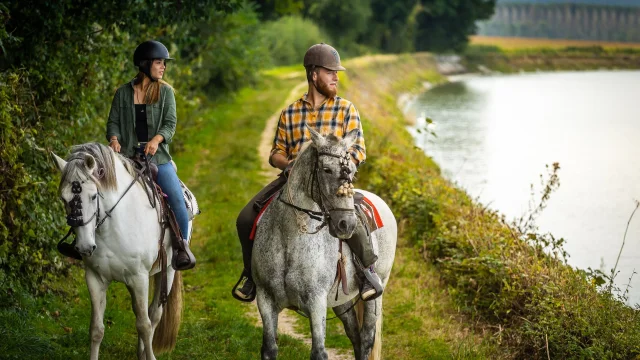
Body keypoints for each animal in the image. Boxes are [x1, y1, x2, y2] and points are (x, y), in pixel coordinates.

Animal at [52, 143, 184, 360]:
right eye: (64, 198)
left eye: (94, 195)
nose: (85, 247)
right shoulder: (95, 278)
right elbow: (96, 329)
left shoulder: (139, 278)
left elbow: (144, 325)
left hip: (169, 270)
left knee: (154, 315)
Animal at [252, 128, 398, 358]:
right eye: (327, 169)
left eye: (352, 172)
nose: (346, 224)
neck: (288, 240)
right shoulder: (264, 298)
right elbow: (269, 348)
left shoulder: (316, 301)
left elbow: (319, 352)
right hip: (342, 301)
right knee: (355, 337)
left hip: (376, 292)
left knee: (366, 339)